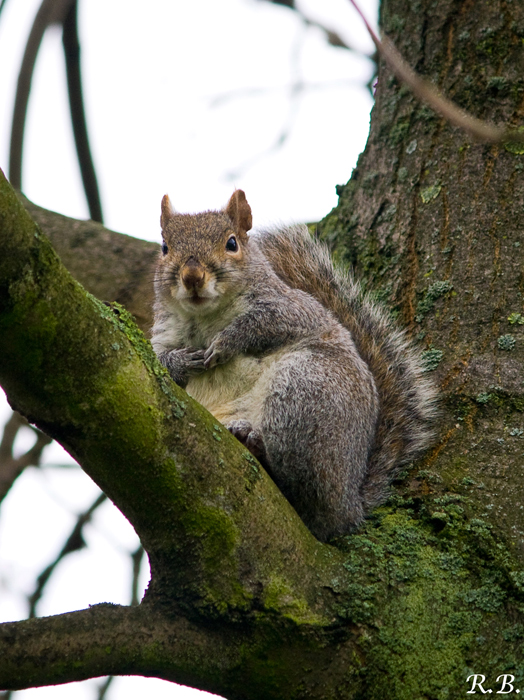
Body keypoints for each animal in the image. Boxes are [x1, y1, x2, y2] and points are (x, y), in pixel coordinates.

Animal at [149, 190, 436, 540]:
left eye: (232, 243)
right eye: (165, 247)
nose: (192, 277)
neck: (204, 317)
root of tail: (349, 504)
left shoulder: (294, 309)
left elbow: (264, 324)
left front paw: (227, 341)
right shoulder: (163, 334)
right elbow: (161, 360)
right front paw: (182, 361)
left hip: (303, 388)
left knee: (302, 487)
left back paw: (259, 446)